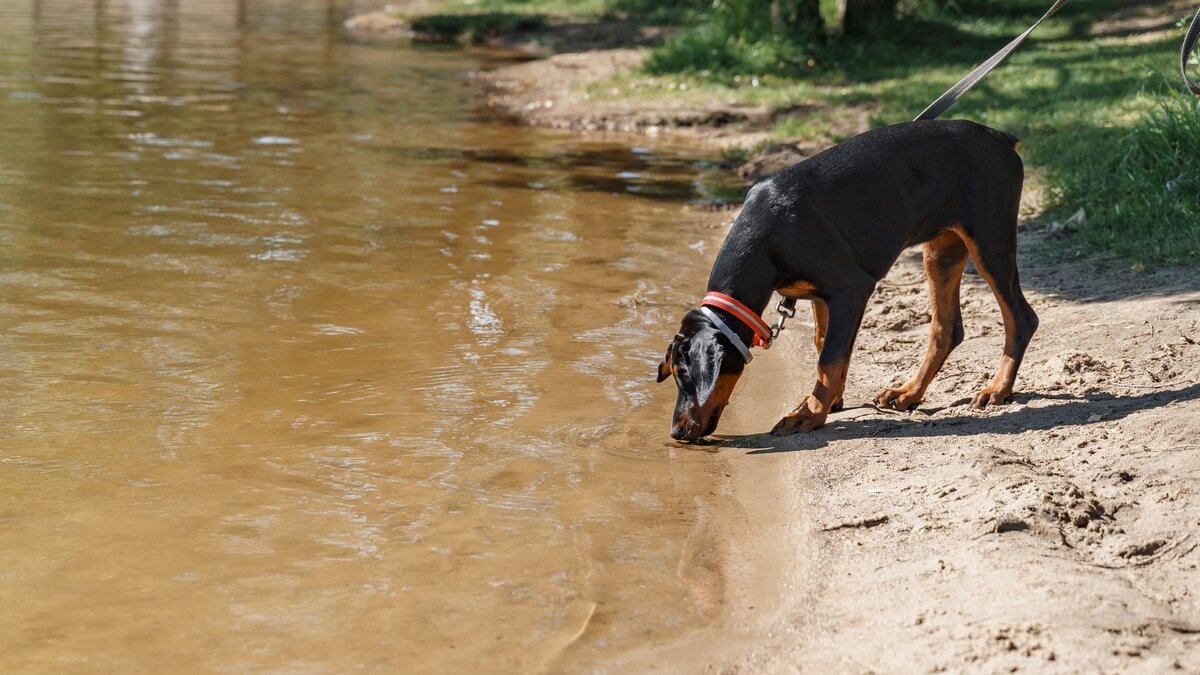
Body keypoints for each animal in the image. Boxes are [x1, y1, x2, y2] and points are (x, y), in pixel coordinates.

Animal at [662, 117, 1036, 439]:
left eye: (685, 374)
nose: (676, 432)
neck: (766, 236)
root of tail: (999, 136)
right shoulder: (820, 295)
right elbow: (824, 343)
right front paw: (829, 400)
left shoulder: (851, 287)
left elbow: (830, 357)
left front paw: (808, 414)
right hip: (940, 252)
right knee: (947, 329)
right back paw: (908, 393)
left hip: (989, 240)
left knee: (1021, 317)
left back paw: (997, 389)